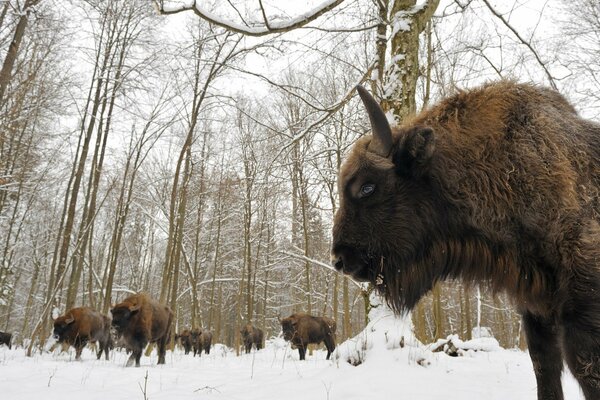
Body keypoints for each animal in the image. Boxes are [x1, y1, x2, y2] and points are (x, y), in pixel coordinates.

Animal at [330, 79, 600, 398]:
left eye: (367, 187)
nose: (339, 258)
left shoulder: (580, 310)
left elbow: (584, 369)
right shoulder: (537, 310)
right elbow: (545, 368)